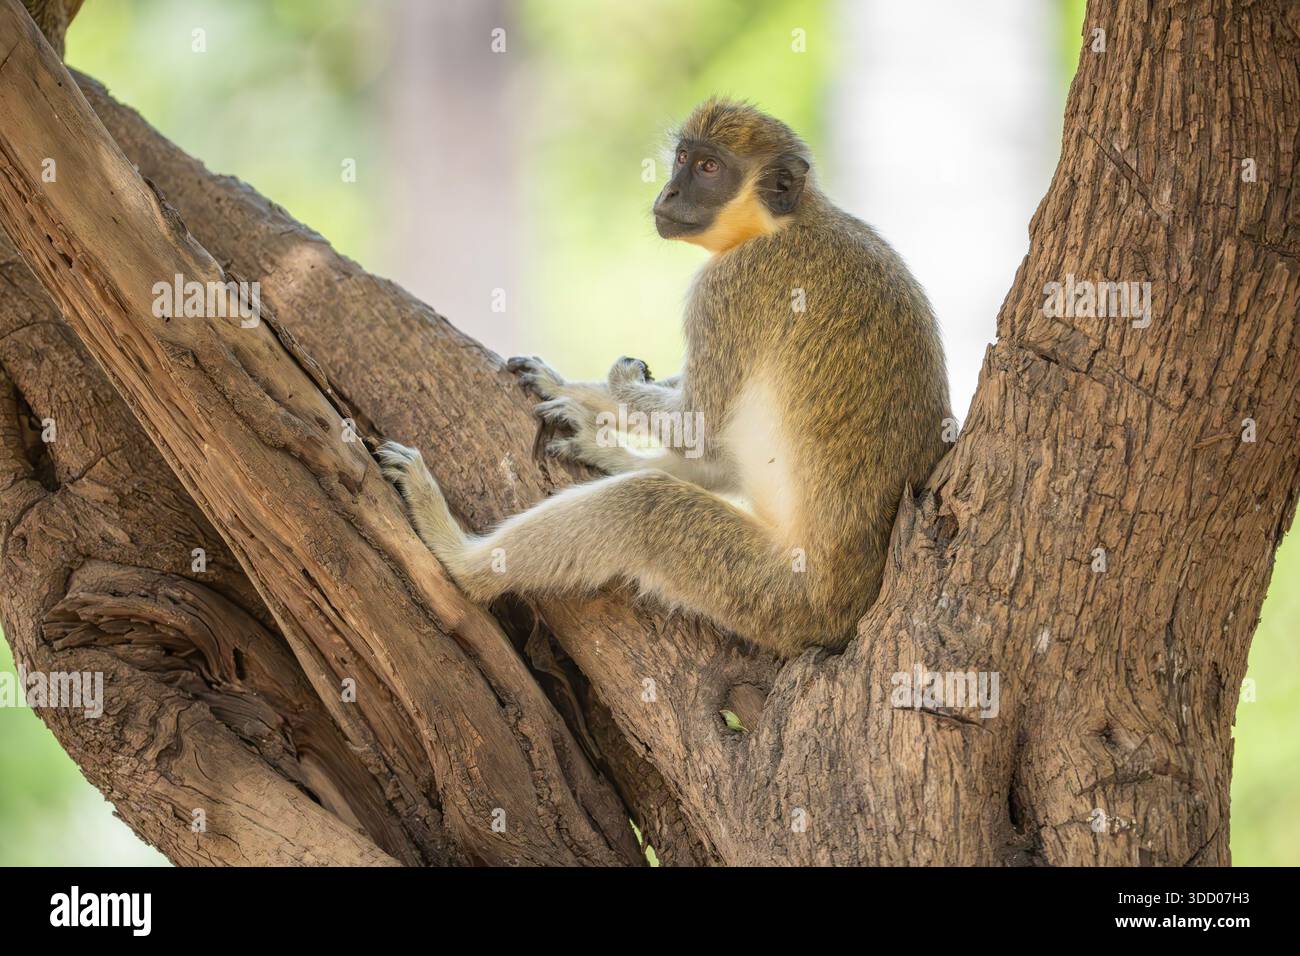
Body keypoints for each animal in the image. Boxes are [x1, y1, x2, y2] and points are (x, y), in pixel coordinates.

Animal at [379, 97, 950, 657]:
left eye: (709, 168)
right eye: (681, 158)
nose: (669, 190)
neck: (780, 223)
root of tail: (845, 615)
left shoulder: (726, 288)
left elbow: (697, 424)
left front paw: (611, 387)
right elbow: (703, 433)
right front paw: (575, 390)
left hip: (771, 596)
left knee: (642, 507)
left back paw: (459, 560)